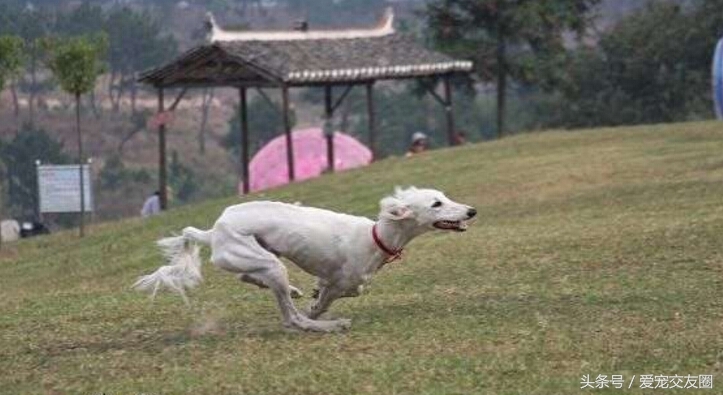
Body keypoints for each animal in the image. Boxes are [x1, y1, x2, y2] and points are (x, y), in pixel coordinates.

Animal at [134, 187, 478, 332]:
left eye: (444, 196)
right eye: (436, 204)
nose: (471, 211)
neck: (375, 236)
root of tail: (213, 229)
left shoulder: (336, 279)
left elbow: (329, 288)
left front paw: (312, 293)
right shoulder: (344, 281)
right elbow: (330, 298)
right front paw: (317, 310)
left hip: (265, 256)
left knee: (247, 276)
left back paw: (291, 291)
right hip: (270, 263)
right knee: (292, 319)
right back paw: (329, 325)